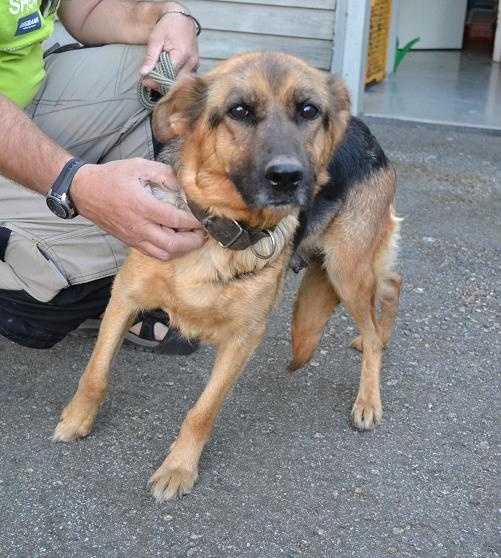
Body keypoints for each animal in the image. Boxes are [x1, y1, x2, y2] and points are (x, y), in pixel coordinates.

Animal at [53, 51, 401, 502]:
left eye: (309, 111)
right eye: (239, 111)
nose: (289, 177)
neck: (219, 231)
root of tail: (365, 131)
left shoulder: (243, 339)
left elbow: (203, 411)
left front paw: (178, 469)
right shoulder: (124, 298)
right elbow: (95, 372)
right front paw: (77, 419)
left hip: (346, 267)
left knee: (377, 313)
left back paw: (368, 398)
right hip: (350, 267)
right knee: (392, 284)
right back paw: (378, 336)